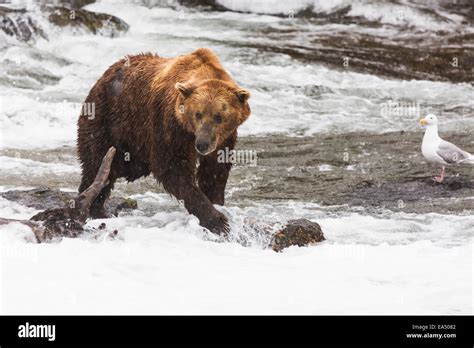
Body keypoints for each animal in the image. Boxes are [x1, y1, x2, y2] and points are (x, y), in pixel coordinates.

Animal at [76, 48, 250, 234]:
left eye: (218, 116)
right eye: (198, 114)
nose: (202, 144)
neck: (190, 131)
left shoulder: (224, 139)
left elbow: (214, 171)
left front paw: (217, 203)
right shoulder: (169, 125)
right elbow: (172, 168)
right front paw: (217, 221)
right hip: (108, 120)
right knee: (97, 163)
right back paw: (95, 208)